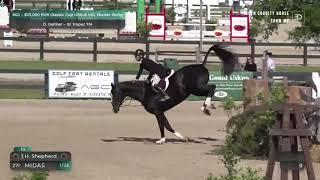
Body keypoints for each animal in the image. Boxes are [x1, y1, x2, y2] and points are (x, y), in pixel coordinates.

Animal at [110, 44, 238, 144]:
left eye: (115, 93)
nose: (114, 109)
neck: (144, 92)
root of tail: (201, 65)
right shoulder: (158, 112)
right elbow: (162, 126)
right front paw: (162, 140)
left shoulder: (158, 111)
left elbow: (167, 125)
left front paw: (183, 138)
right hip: (195, 89)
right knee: (211, 89)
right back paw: (208, 106)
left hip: (196, 88)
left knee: (212, 88)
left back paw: (205, 107)